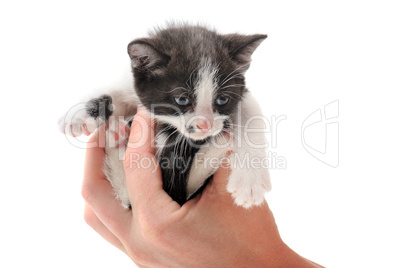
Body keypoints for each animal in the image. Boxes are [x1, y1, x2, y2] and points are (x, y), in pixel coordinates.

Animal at [59, 24, 272, 209]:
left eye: (222, 100)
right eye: (182, 100)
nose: (205, 126)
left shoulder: (244, 96)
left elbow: (250, 116)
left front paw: (250, 180)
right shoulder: (133, 86)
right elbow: (116, 92)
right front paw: (78, 116)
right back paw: (117, 137)